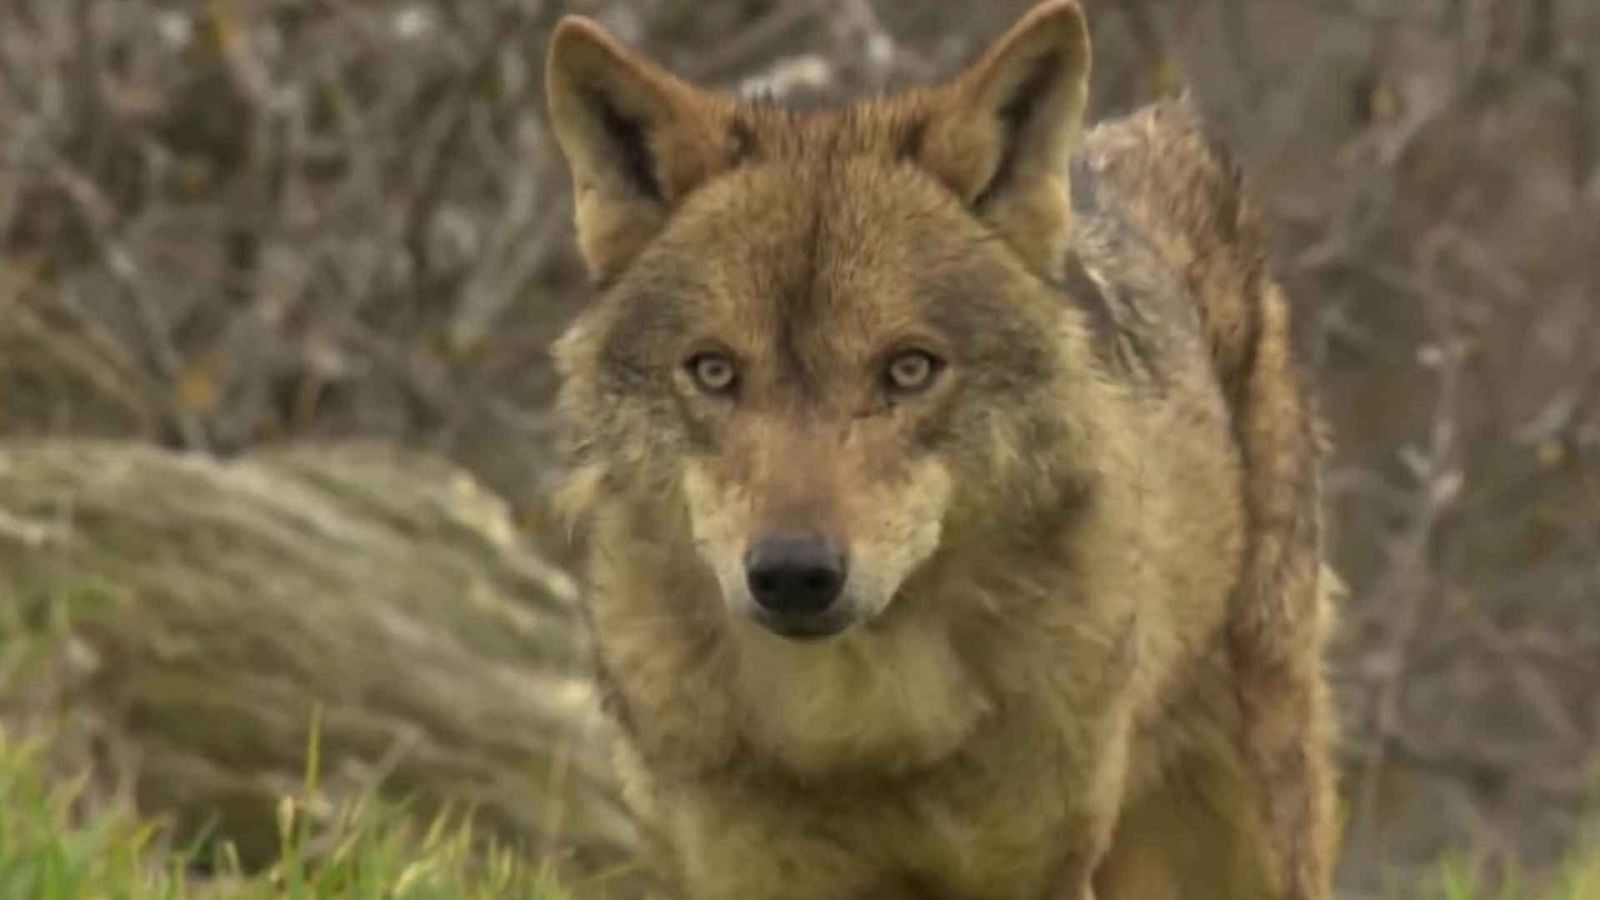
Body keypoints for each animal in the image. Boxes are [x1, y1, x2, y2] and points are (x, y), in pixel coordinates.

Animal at [543, 1, 1337, 897]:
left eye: (909, 368)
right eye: (713, 371)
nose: (793, 574)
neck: (858, 729)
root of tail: (1153, 129)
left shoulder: (1036, 870)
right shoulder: (746, 874)